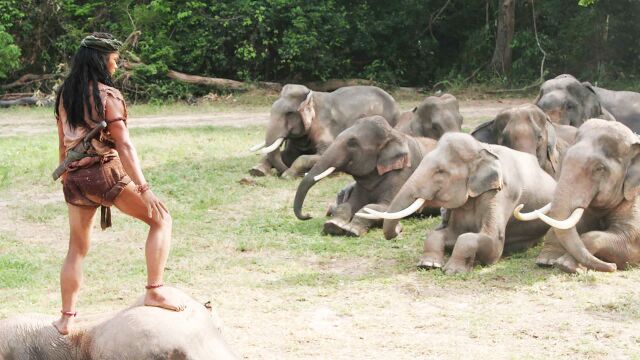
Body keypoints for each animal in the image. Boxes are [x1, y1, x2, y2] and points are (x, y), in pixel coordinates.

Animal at [249, 84, 400, 180]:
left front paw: (288, 175)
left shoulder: (325, 127)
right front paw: (256, 171)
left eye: (289, 113)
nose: (282, 172)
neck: (313, 97)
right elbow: (288, 154)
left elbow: (313, 156)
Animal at [294, 116, 440, 238]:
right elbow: (351, 203)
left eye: (352, 143)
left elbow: (381, 207)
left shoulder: (403, 173)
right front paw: (332, 226)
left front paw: (352, 231)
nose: (308, 215)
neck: (393, 134)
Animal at [358, 132, 556, 272]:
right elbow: (443, 233)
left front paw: (453, 270)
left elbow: (489, 241)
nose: (399, 230)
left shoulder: (502, 193)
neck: (482, 149)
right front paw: (428, 264)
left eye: (440, 171)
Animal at [512, 118, 640, 272]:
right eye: (565, 159)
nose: (612, 267)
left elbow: (629, 242)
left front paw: (566, 265)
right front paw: (546, 261)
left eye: (599, 168)